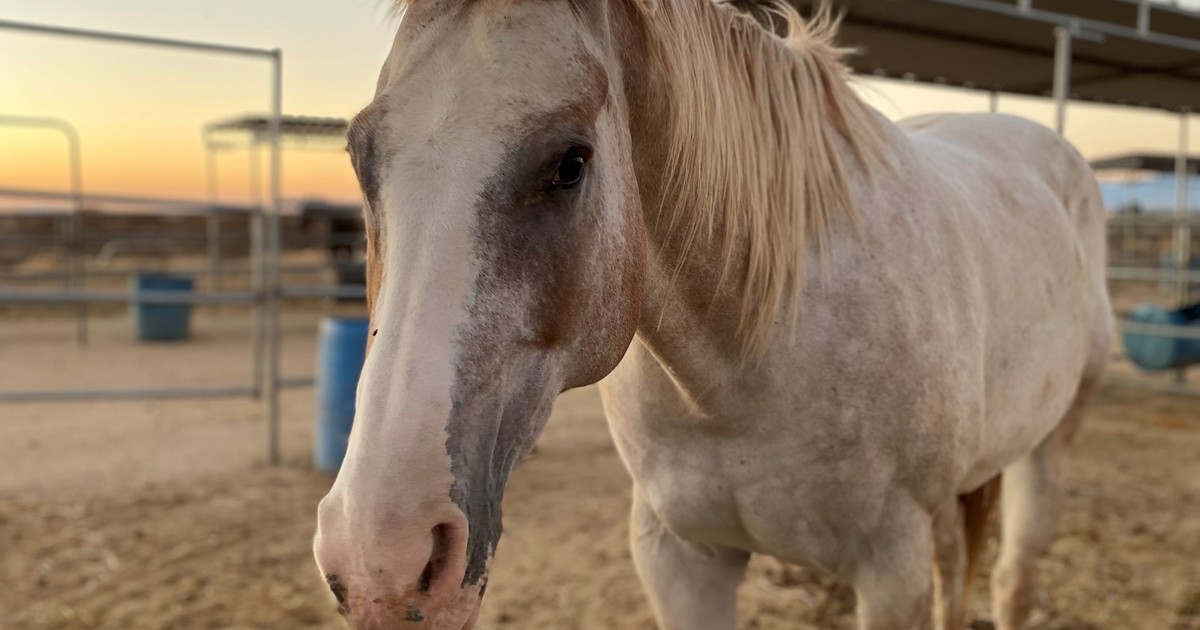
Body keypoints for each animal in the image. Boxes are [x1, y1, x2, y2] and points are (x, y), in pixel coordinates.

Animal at [312, 1, 1112, 628]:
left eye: (571, 162)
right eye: (359, 155)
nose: (382, 558)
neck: (752, 362)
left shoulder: (892, 574)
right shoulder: (680, 561)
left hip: (1047, 449)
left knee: (1012, 581)